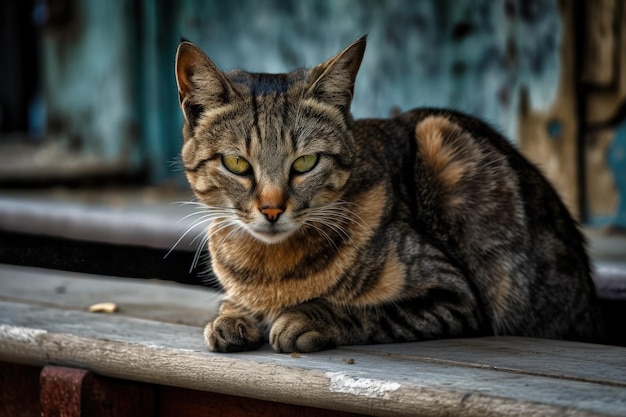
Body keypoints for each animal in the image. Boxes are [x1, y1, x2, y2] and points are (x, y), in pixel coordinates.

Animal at [173, 35, 604, 352]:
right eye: (237, 164)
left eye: (305, 162)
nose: (272, 209)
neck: (269, 271)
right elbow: (232, 302)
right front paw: (230, 318)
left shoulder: (454, 297)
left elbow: (372, 311)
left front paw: (308, 317)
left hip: (438, 132)